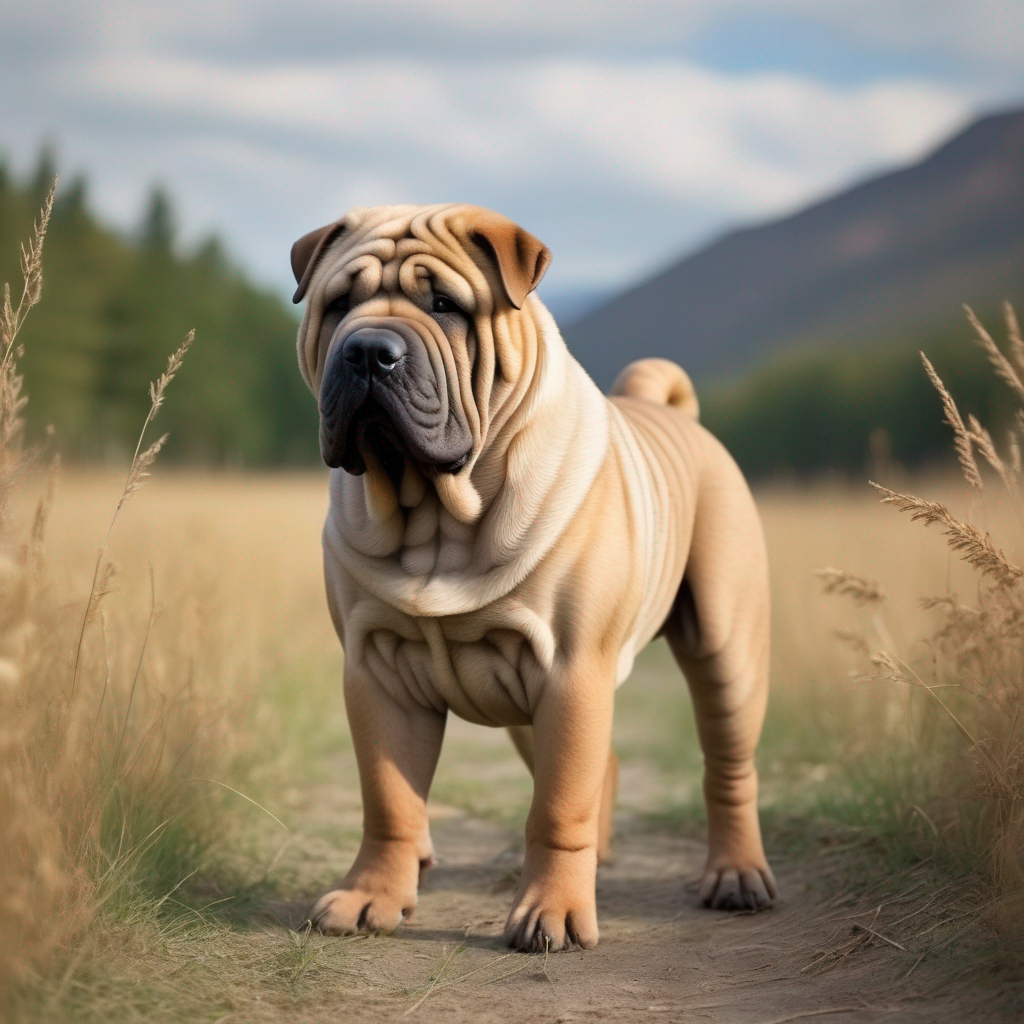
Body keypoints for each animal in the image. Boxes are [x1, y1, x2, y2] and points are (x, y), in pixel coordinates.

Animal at [290, 205, 774, 950]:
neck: (435, 514)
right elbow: (390, 799)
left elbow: (556, 807)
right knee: (600, 766)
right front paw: (371, 897)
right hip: (524, 705)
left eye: (446, 306)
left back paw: (736, 875)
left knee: (727, 768)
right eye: (338, 303)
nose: (368, 349)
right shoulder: (377, 673)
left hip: (726, 651)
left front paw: (553, 911)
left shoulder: (571, 669)